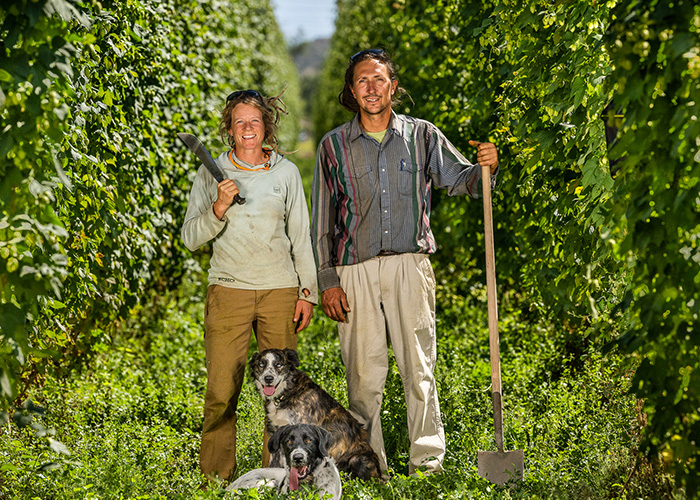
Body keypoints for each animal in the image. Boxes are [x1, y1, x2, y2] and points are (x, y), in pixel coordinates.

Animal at [250, 348, 382, 480]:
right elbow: (274, 465)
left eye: (279, 365)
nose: (268, 378)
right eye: (261, 364)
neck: (286, 392)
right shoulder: (276, 434)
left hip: (358, 459)